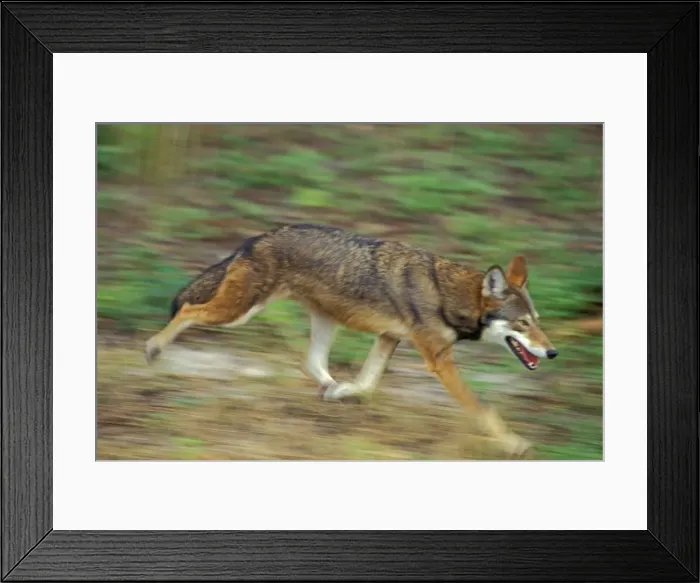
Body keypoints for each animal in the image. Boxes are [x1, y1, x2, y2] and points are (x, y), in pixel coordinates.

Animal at [145, 223, 558, 457]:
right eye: (522, 324)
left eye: (537, 322)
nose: (552, 352)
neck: (447, 295)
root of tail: (256, 238)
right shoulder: (437, 359)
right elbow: (482, 410)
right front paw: (515, 444)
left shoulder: (388, 339)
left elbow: (367, 383)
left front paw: (346, 393)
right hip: (237, 313)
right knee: (188, 310)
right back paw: (153, 348)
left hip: (323, 322)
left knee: (312, 364)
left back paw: (331, 390)